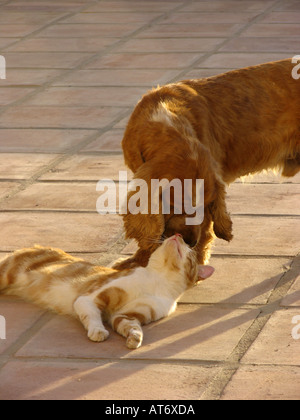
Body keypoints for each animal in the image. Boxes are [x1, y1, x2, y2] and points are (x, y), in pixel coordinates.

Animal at [1, 235, 214, 350]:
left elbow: (132, 327)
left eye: (190, 250)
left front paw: (134, 339)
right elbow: (93, 317)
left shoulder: (126, 316)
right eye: (165, 240)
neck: (158, 281)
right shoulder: (88, 299)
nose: (177, 234)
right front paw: (98, 331)